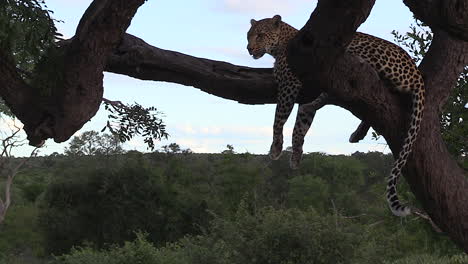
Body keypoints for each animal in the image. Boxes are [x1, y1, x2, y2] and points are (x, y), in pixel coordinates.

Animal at [247, 13, 426, 217]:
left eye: (260, 35)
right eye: (249, 36)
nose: (248, 48)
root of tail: (415, 71)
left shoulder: (289, 84)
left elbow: (278, 118)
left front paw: (276, 148)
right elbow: (300, 126)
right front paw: (296, 154)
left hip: (355, 51)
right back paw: (355, 131)